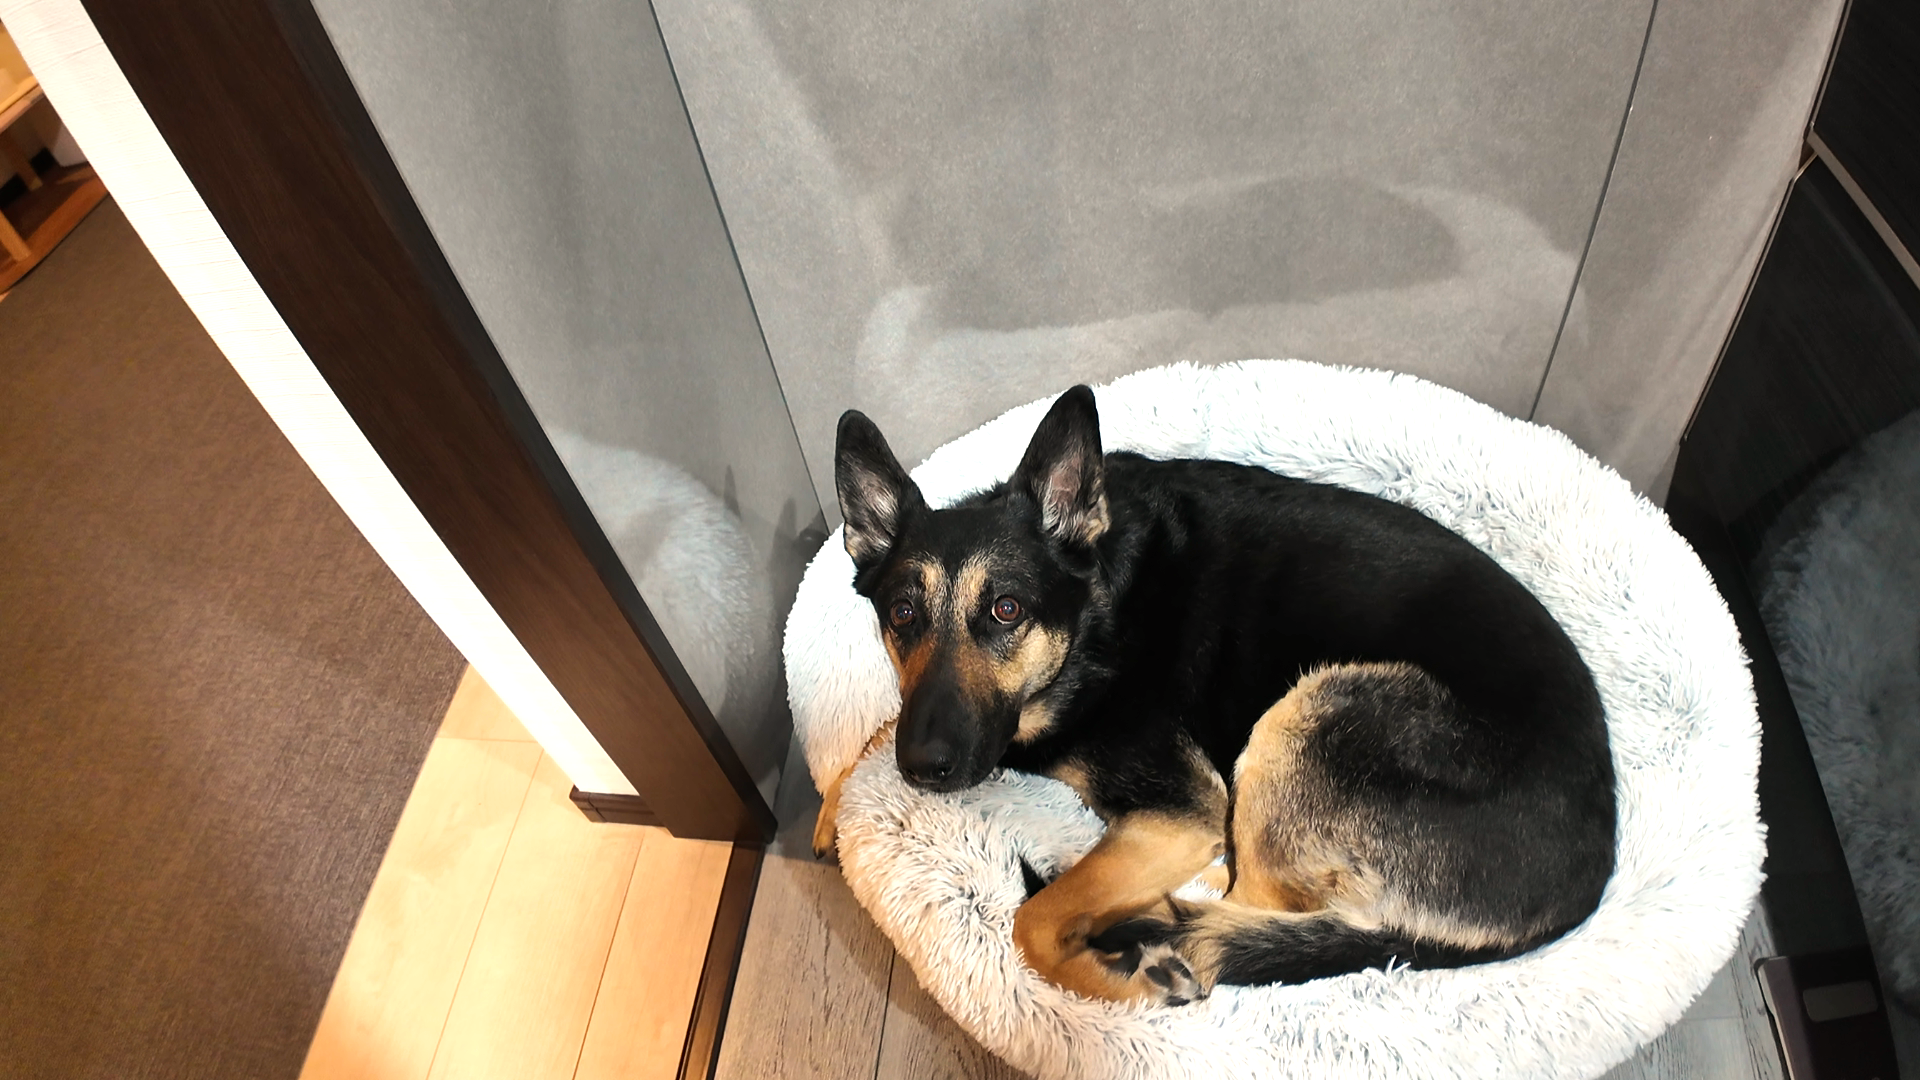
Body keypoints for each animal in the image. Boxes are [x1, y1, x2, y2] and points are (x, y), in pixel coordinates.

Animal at [815, 384, 1616, 1006]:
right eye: (902, 615)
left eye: (1006, 610)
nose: (925, 768)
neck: (1096, 613)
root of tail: (1584, 887)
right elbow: (882, 724)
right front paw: (835, 797)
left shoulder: (1184, 807)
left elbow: (1034, 922)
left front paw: (1121, 987)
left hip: (1308, 717)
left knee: (1238, 908)